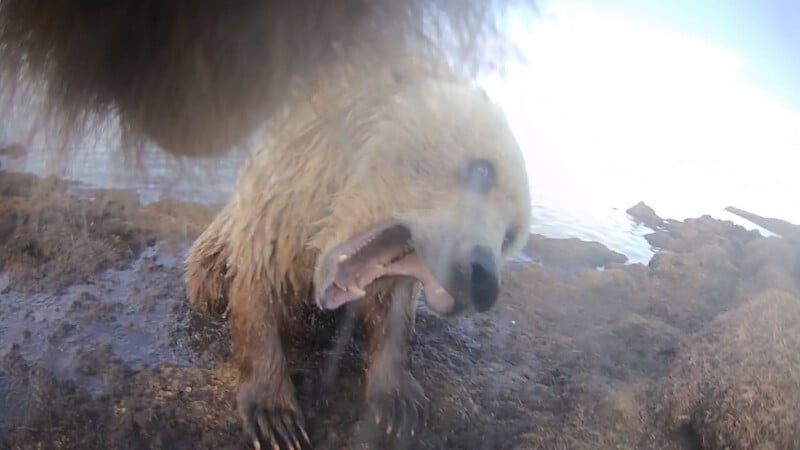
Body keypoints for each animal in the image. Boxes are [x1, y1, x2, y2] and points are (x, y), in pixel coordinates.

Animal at [184, 60, 532, 449]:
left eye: (510, 237)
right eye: (483, 169)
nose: (482, 278)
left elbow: (393, 315)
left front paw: (398, 405)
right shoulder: (278, 214)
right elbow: (256, 294)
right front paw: (276, 419)